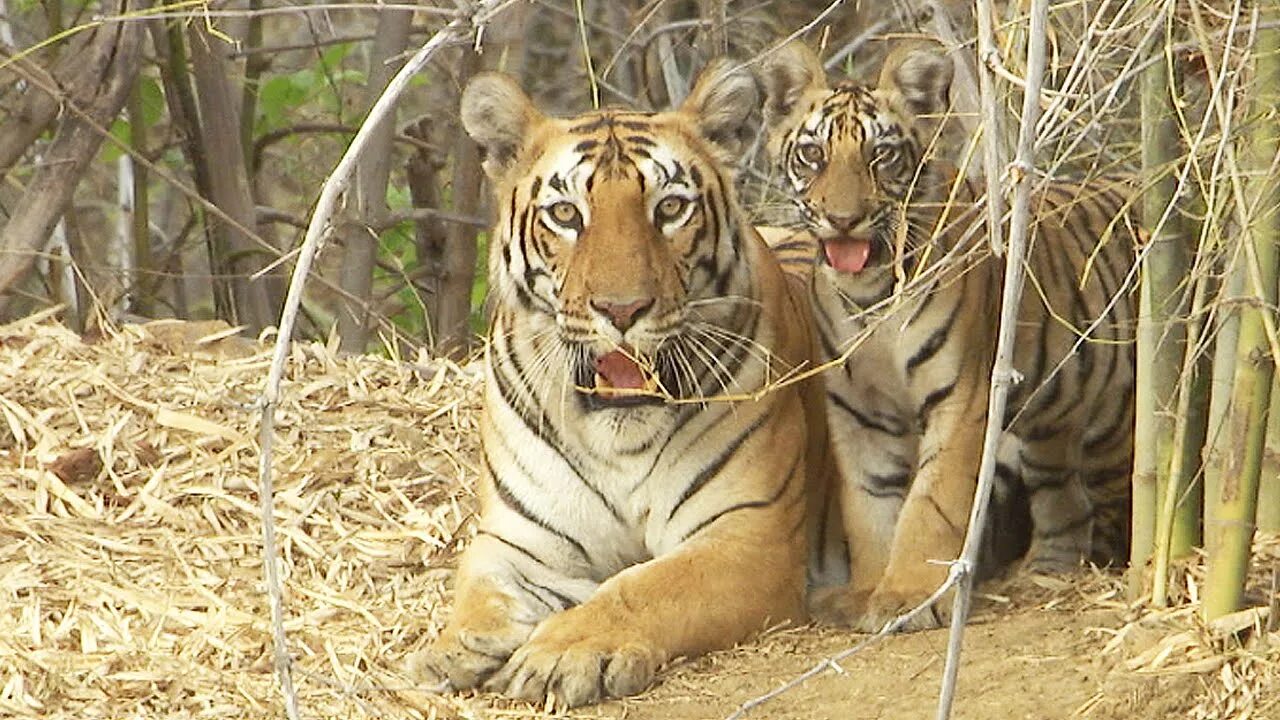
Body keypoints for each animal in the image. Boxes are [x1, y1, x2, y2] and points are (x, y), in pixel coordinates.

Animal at [409, 60, 829, 702]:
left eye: (670, 208)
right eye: (566, 215)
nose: (622, 309)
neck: (618, 437)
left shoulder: (752, 535)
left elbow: (645, 587)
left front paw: (562, 653)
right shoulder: (518, 540)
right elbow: (483, 589)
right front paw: (457, 649)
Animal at [752, 41, 1136, 630]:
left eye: (881, 156)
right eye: (812, 155)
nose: (844, 219)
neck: (871, 291)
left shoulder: (963, 399)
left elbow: (929, 502)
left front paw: (909, 595)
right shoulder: (858, 414)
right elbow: (869, 505)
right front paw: (868, 591)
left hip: (1119, 421)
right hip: (1053, 427)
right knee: (1061, 499)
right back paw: (1046, 571)